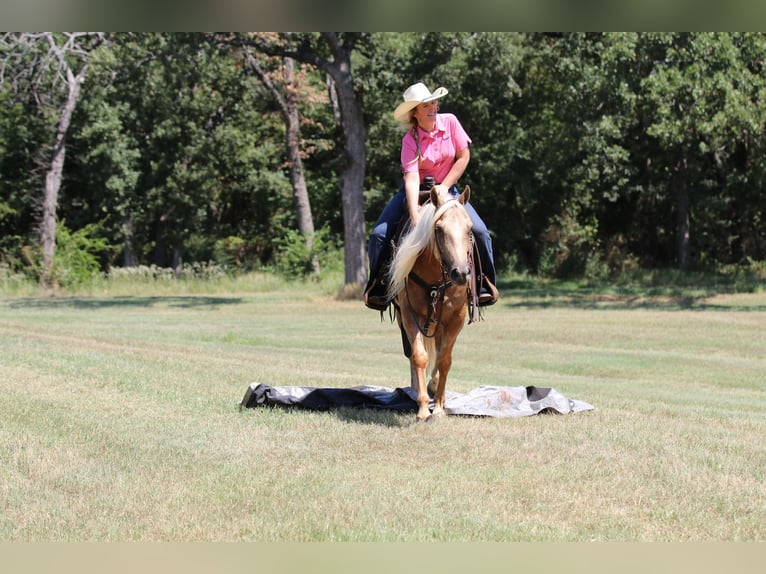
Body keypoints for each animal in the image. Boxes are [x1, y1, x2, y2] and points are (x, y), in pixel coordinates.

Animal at [386, 186, 476, 421]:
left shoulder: (456, 318)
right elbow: (419, 356)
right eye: (439, 229)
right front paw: (423, 408)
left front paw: (438, 407)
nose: (460, 273)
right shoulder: (409, 314)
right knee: (412, 354)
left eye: (469, 230)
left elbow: (444, 360)